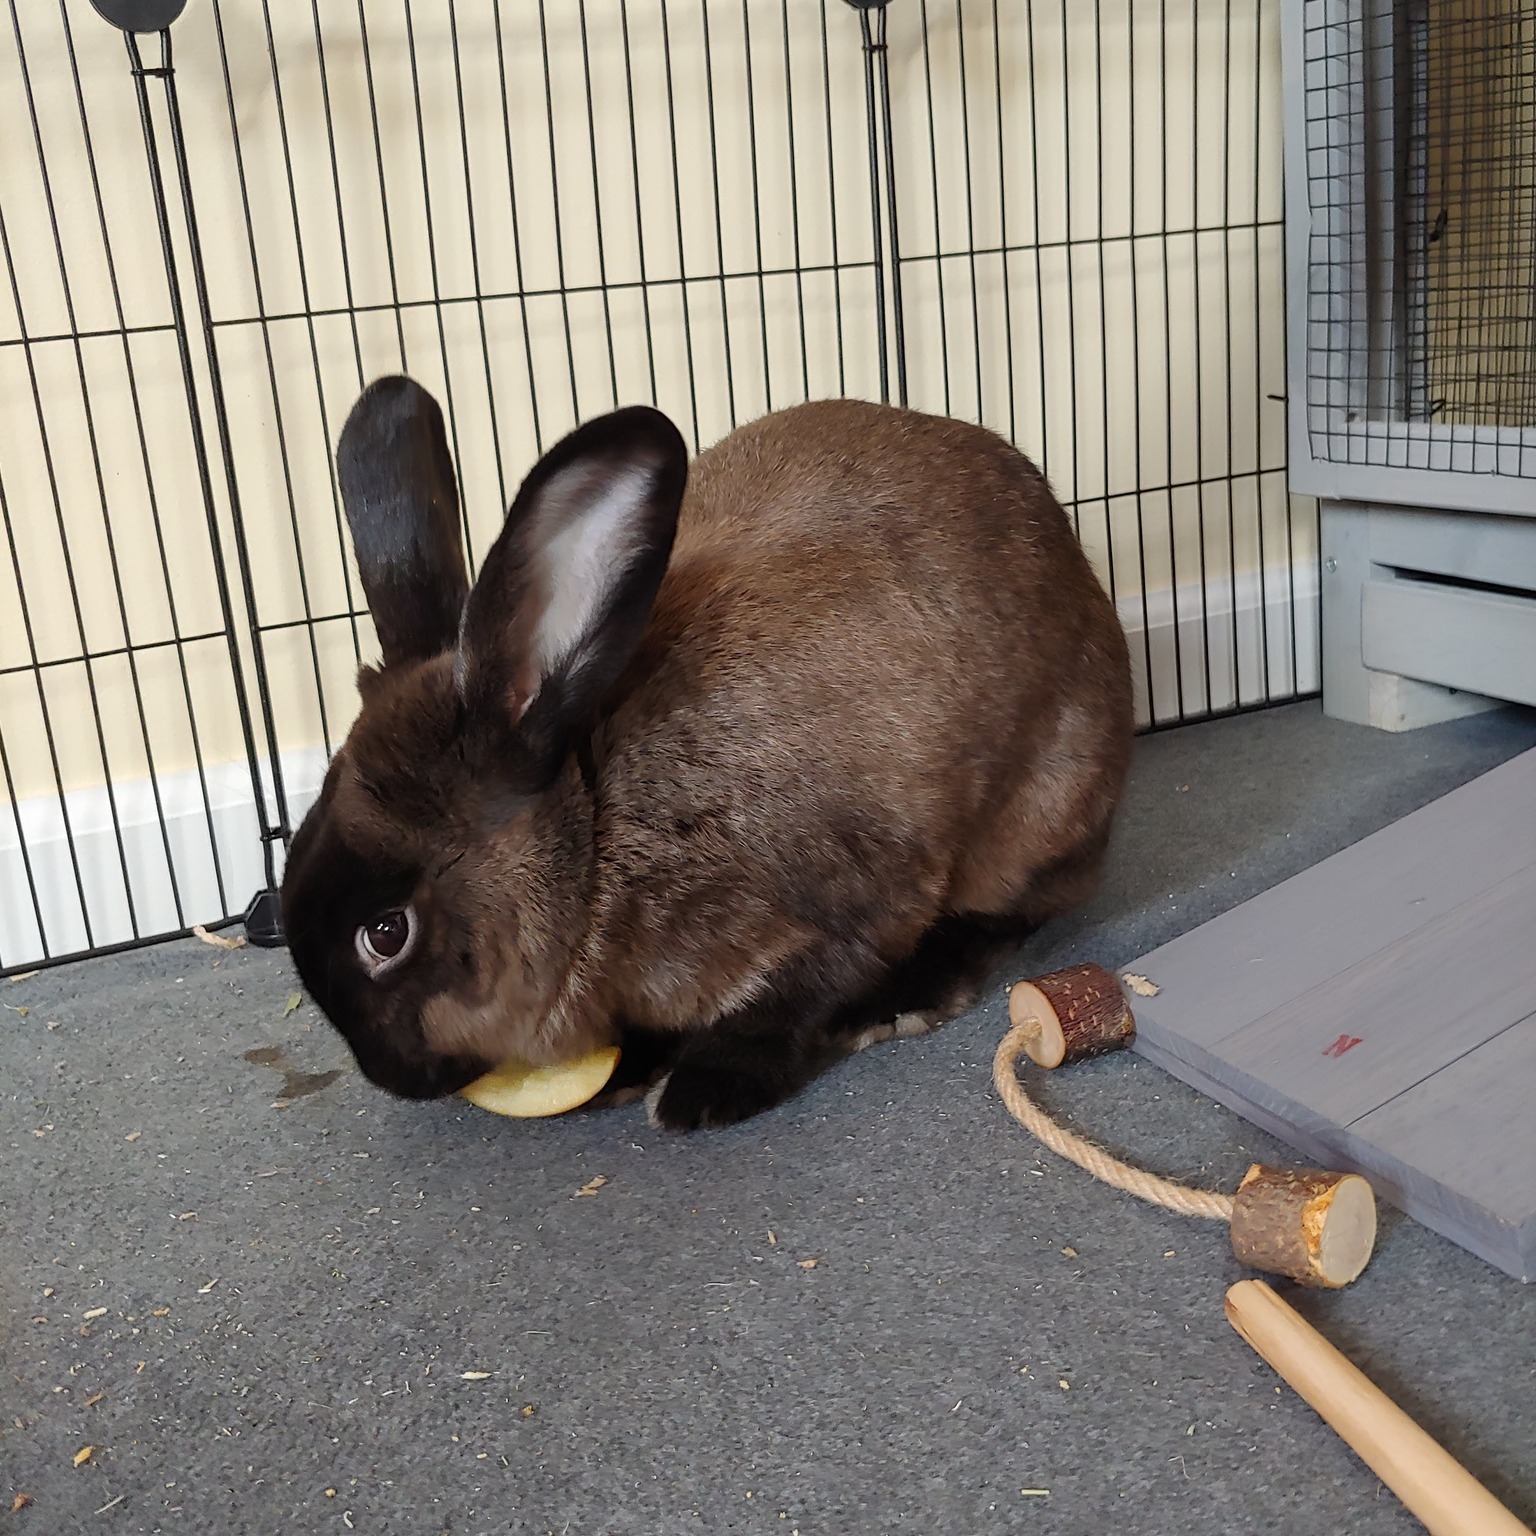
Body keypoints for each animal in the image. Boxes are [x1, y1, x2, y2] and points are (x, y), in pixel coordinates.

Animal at [280, 376, 1134, 1131]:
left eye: (386, 934)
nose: (386, 1076)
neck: (597, 831)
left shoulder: (856, 895)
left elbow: (796, 993)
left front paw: (702, 1092)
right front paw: (628, 1070)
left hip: (1041, 807)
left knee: (1007, 911)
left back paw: (905, 998)